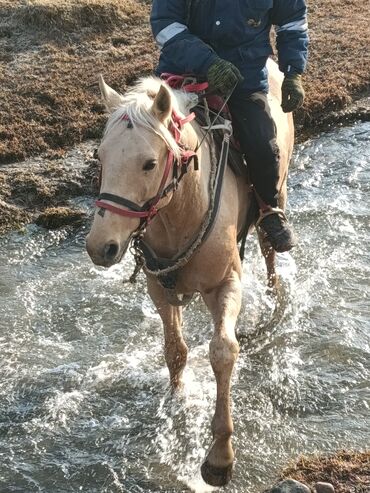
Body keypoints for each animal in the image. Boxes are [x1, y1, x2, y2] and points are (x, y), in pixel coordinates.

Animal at [86, 56, 294, 484]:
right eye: (101, 157)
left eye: (149, 163)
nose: (101, 247)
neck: (182, 211)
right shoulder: (159, 289)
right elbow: (176, 351)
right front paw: (177, 402)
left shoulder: (226, 284)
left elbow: (223, 352)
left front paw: (220, 458)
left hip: (276, 194)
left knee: (269, 251)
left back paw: (272, 298)